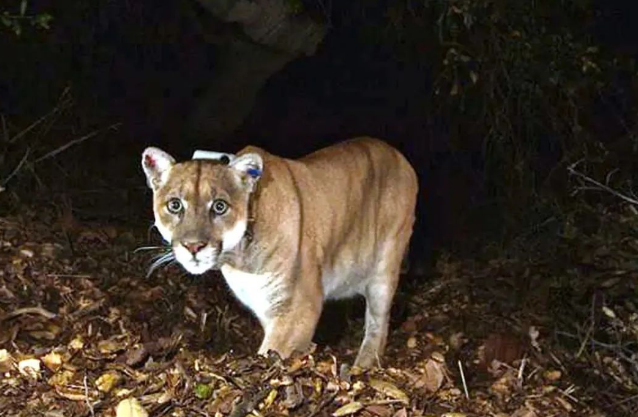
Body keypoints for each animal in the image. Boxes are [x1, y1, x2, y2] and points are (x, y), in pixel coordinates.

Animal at [141, 138, 420, 366]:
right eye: (175, 205)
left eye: (219, 206)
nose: (193, 246)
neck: (239, 259)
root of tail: (399, 155)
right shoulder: (267, 307)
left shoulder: (299, 306)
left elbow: (272, 352)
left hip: (385, 267)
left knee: (378, 324)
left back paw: (362, 365)